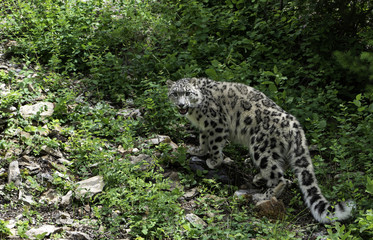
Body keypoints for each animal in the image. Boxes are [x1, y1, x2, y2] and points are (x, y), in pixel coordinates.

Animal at [167, 78, 354, 224]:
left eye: (188, 93)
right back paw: (259, 178)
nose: (181, 104)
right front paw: (198, 150)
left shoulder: (216, 124)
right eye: (174, 94)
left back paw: (262, 196)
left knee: (280, 178)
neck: (195, 113)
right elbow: (203, 140)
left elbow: (214, 144)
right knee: (281, 167)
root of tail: (295, 126)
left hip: (260, 147)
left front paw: (213, 161)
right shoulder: (205, 128)